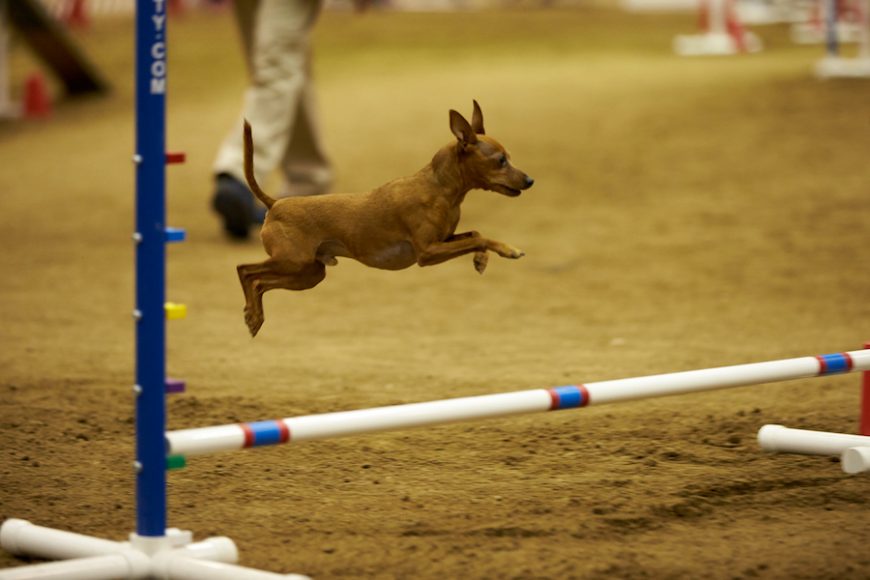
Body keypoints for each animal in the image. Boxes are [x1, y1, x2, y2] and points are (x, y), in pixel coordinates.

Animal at [242, 101, 536, 336]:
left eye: (509, 157)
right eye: (500, 160)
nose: (530, 180)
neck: (439, 188)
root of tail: (275, 203)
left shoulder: (445, 239)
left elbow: (475, 235)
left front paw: (481, 259)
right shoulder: (428, 253)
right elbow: (481, 237)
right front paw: (508, 249)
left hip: (309, 273)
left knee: (260, 283)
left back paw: (253, 317)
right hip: (293, 262)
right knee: (246, 271)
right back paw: (253, 313)